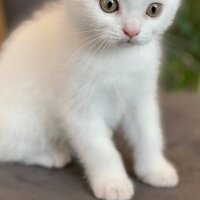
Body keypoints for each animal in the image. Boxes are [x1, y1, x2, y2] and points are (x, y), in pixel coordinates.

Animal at [0, 0, 180, 199]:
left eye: (154, 9)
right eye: (108, 5)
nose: (132, 31)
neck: (117, 57)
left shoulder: (141, 97)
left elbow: (149, 133)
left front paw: (155, 169)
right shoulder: (78, 107)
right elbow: (99, 147)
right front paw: (113, 182)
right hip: (24, 120)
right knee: (9, 147)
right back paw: (51, 154)